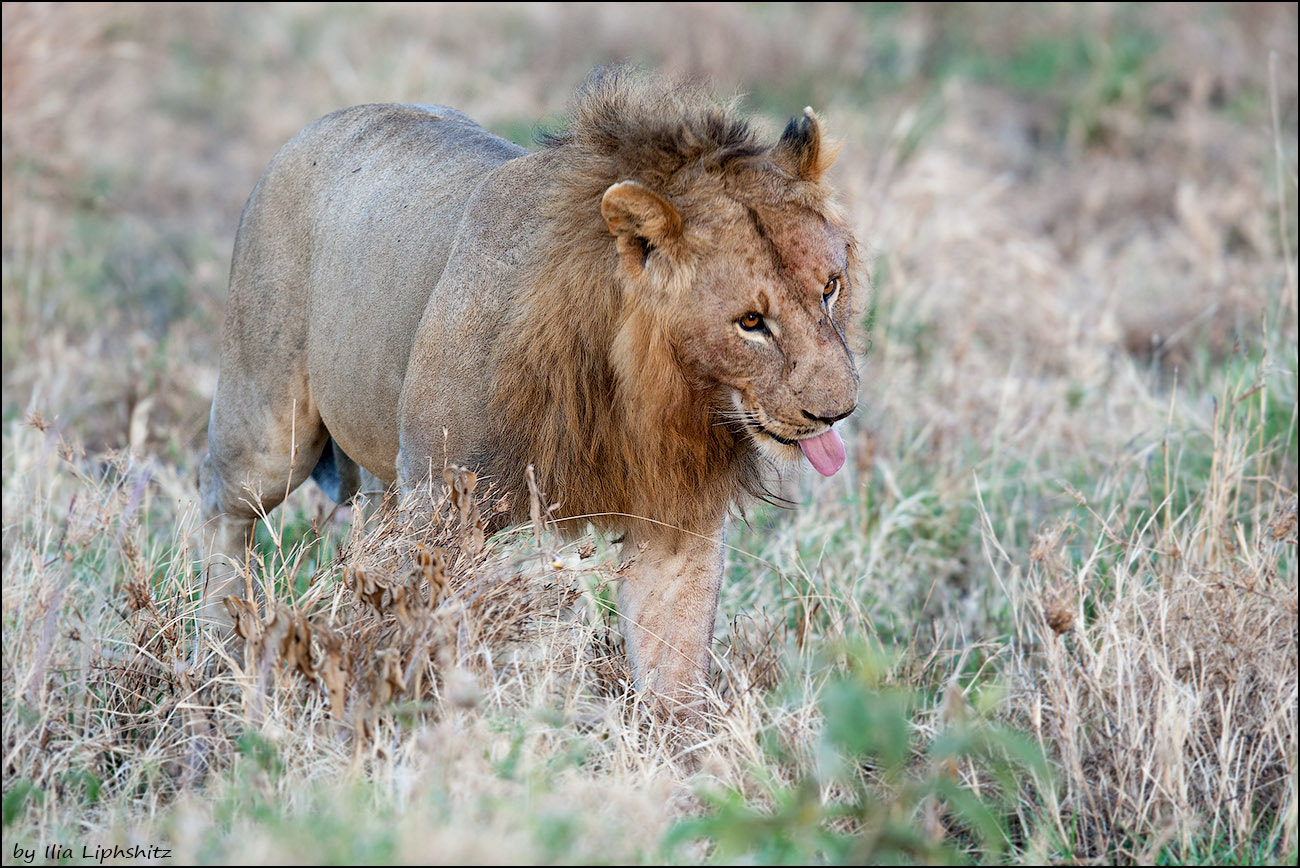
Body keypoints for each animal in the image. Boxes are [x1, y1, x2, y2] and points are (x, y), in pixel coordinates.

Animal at [200, 69, 863, 717]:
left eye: (830, 287)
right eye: (751, 322)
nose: (839, 411)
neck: (641, 389)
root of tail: (320, 124)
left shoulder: (676, 522)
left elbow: (675, 669)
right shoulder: (437, 502)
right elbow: (417, 628)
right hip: (269, 432)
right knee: (220, 503)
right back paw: (221, 647)